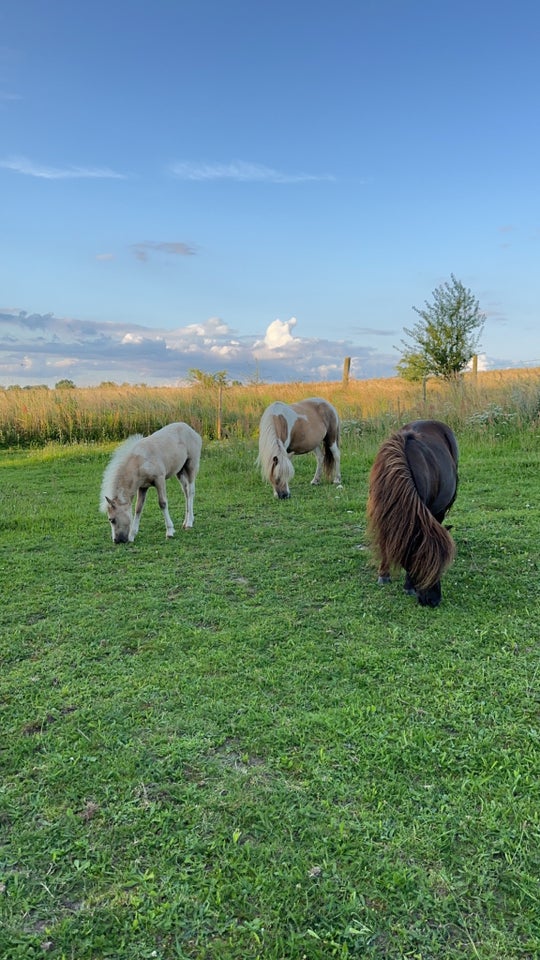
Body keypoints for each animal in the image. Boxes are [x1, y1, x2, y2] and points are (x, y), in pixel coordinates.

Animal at [364, 420, 458, 608]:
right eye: (422, 561)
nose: (433, 600)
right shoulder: (382, 514)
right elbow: (385, 542)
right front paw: (384, 574)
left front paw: (407, 586)